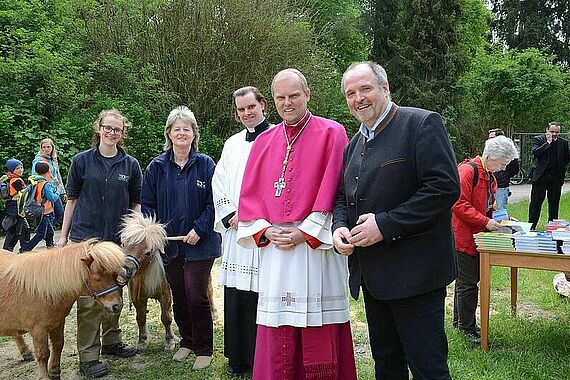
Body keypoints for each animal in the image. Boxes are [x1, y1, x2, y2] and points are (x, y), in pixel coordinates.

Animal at [0, 240, 125, 380]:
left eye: (114, 275)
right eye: (97, 278)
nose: (116, 306)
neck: (43, 290)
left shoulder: (58, 323)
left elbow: (58, 345)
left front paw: (54, 372)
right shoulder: (38, 330)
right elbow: (43, 355)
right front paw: (45, 377)